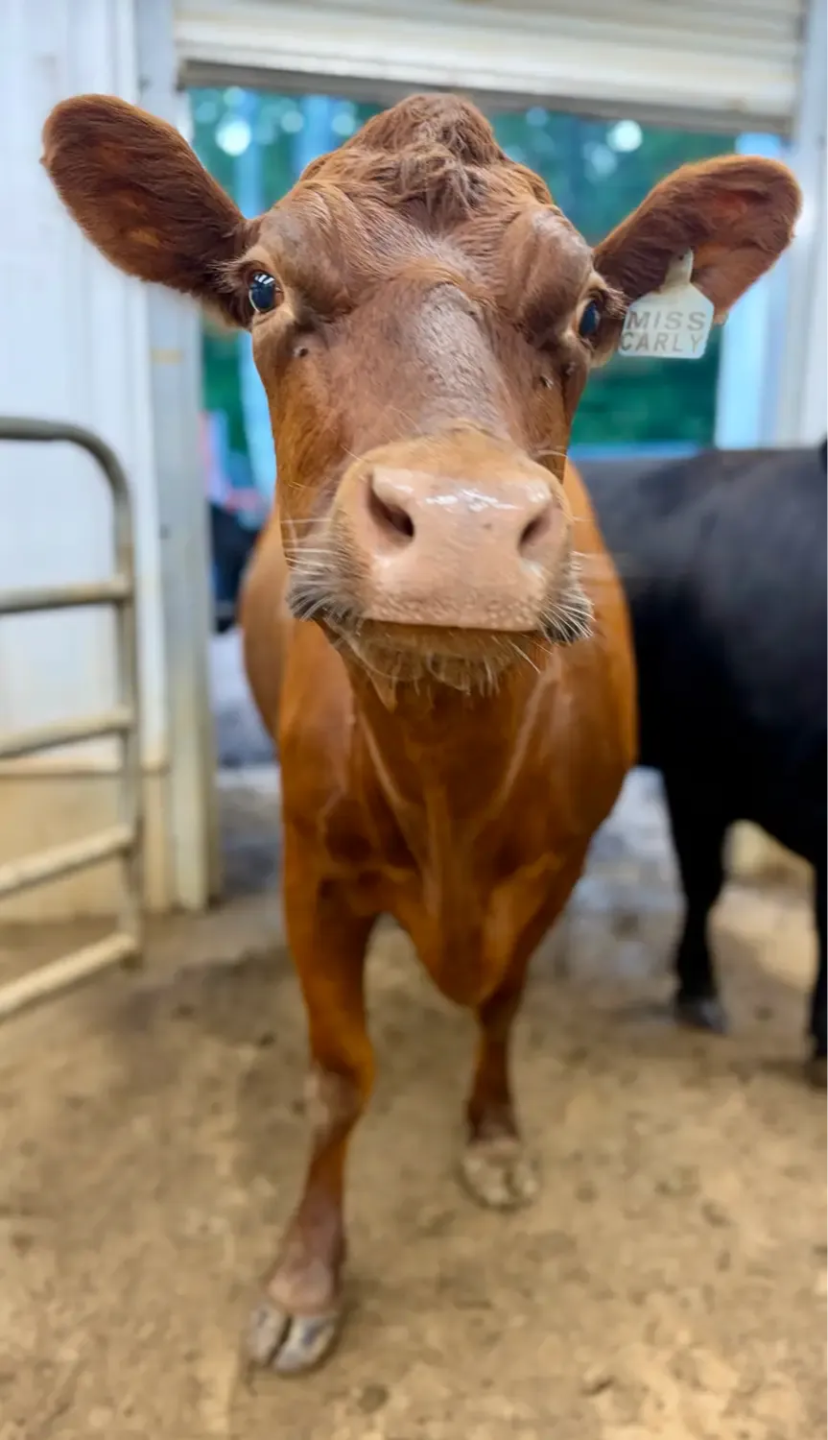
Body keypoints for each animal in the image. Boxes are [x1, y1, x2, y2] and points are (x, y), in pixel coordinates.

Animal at [42, 92, 800, 1373]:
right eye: (261, 285)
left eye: (593, 310)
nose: (463, 522)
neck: (451, 784)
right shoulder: (313, 874)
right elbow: (339, 1077)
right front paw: (305, 1276)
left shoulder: (560, 861)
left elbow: (502, 1002)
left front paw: (492, 1137)